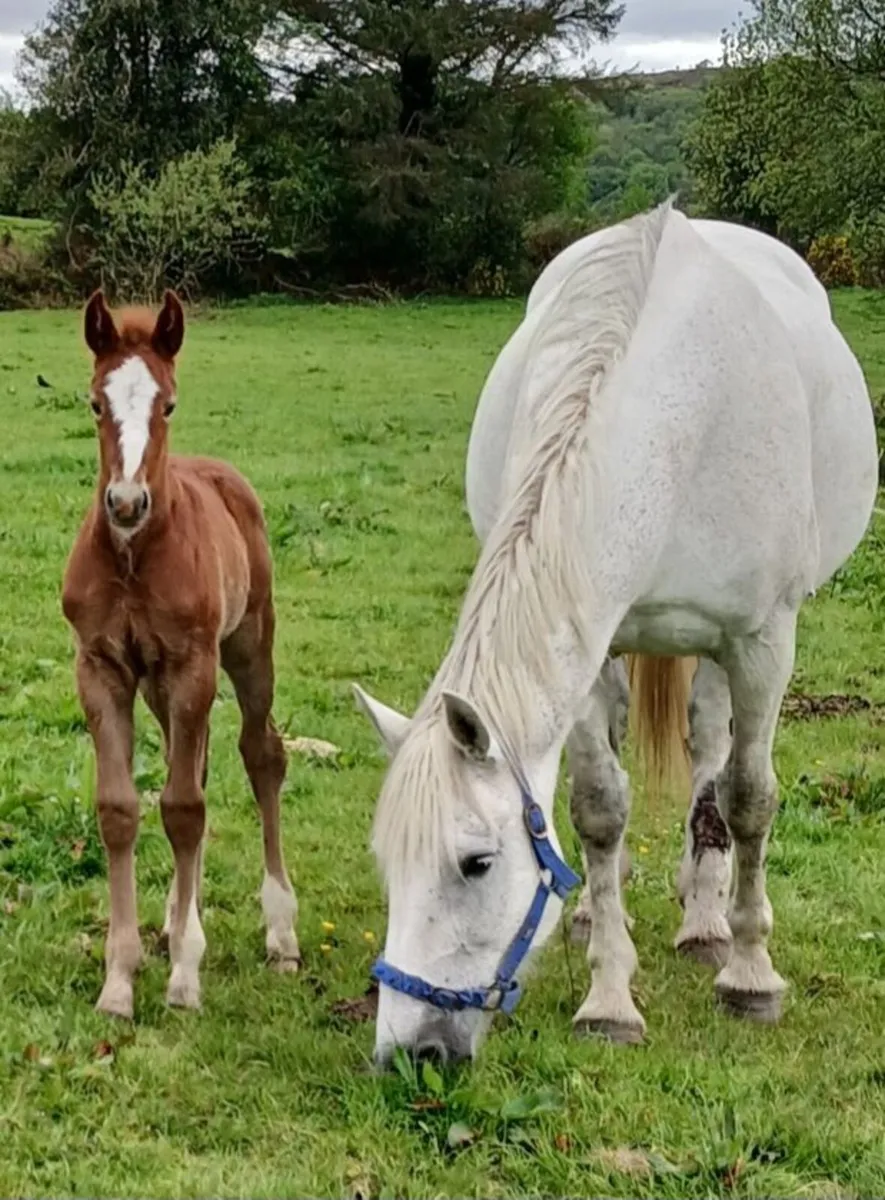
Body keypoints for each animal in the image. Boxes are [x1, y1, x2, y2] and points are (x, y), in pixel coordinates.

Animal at [62, 290, 300, 1019]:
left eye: (167, 403)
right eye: (95, 402)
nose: (125, 502)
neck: (134, 557)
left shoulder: (194, 666)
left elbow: (186, 809)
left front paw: (185, 977)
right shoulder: (101, 668)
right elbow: (123, 809)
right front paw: (119, 977)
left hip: (248, 645)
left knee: (260, 754)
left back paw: (281, 933)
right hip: (160, 685)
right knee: (185, 764)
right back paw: (172, 920)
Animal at [354, 200, 878, 1065]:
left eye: (476, 863)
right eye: (386, 863)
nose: (410, 1053)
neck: (679, 417)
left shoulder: (762, 642)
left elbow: (749, 797)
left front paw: (749, 974)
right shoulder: (589, 643)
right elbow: (597, 806)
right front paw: (608, 997)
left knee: (711, 756)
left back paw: (705, 919)